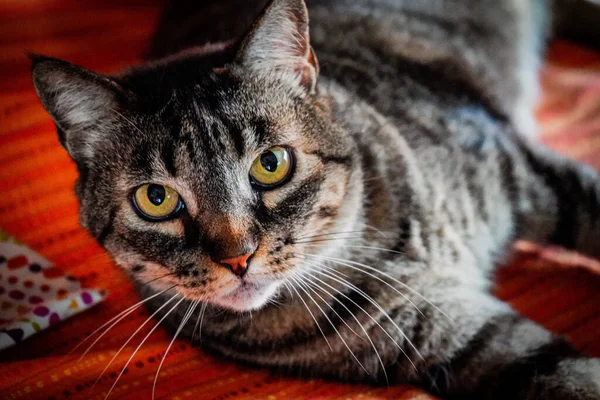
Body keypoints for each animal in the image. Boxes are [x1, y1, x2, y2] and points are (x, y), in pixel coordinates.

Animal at [31, 0, 600, 398]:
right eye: (155, 198)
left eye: (271, 164)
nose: (238, 257)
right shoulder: (449, 336)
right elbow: (559, 372)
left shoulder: (513, 162)